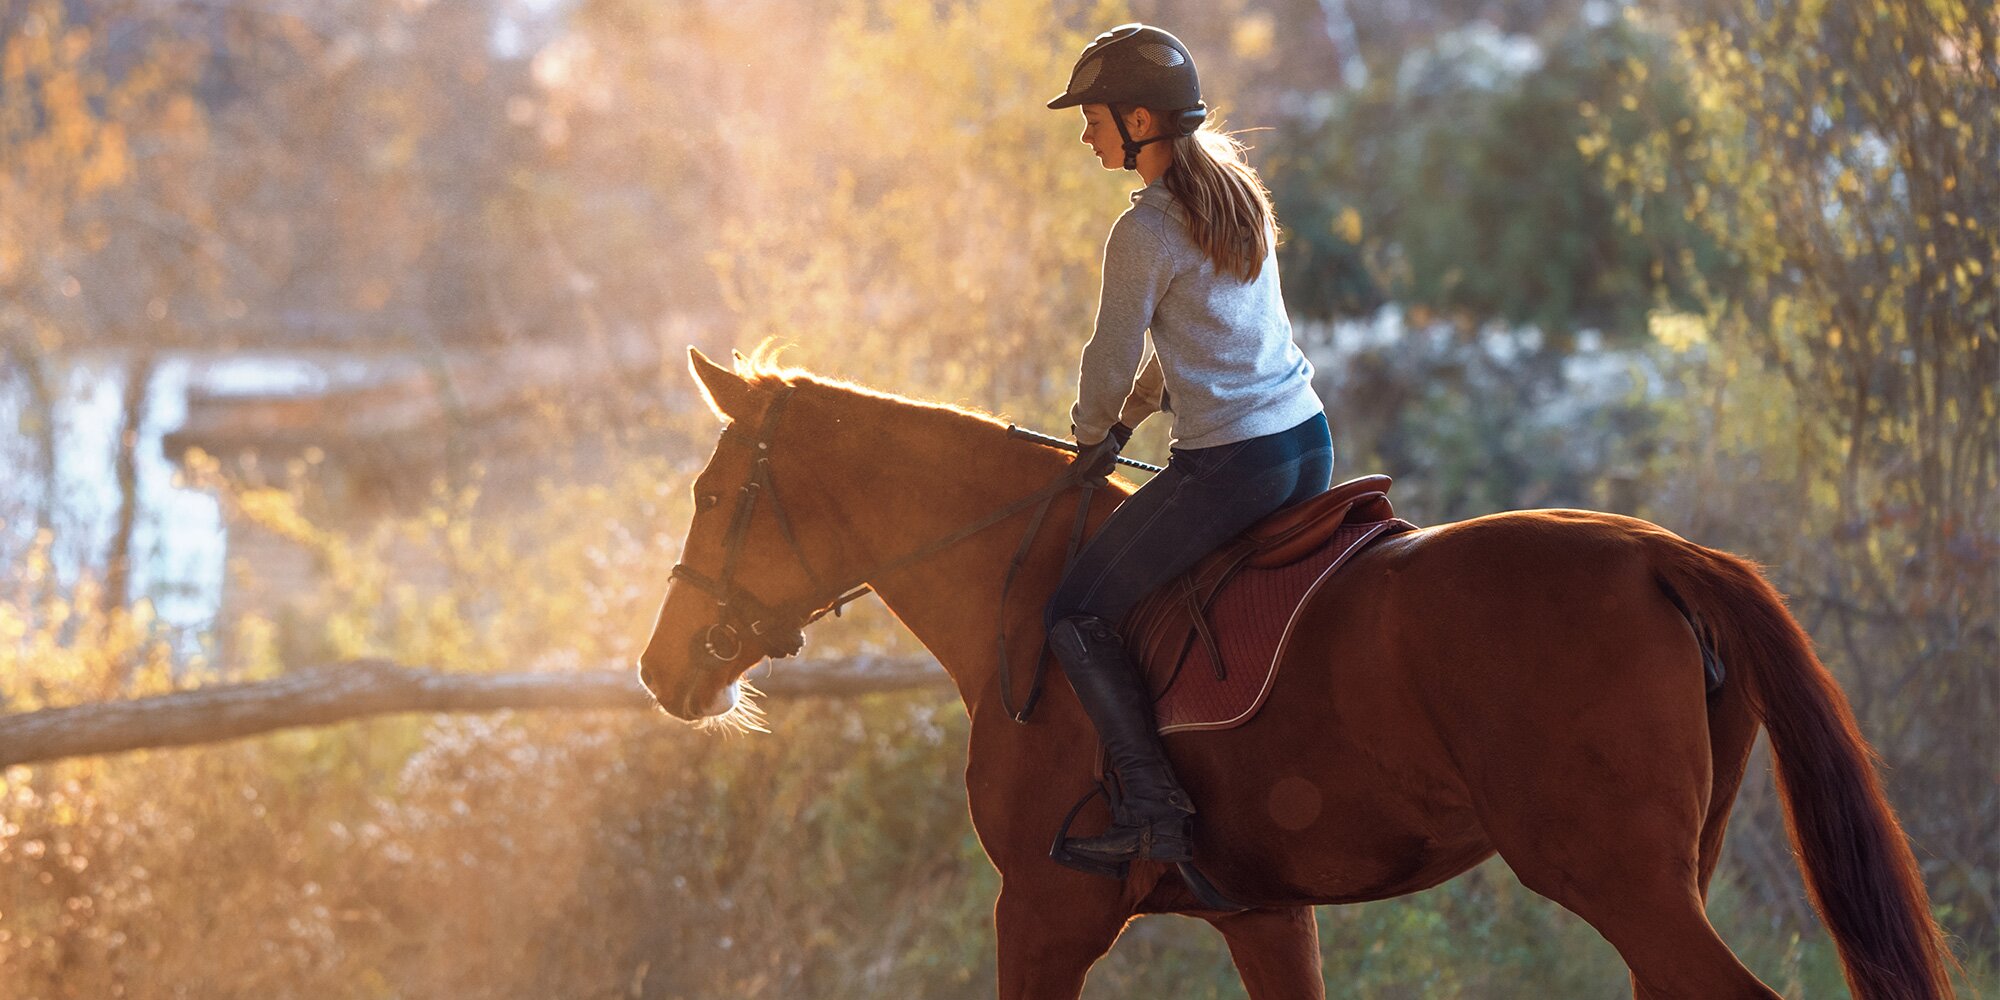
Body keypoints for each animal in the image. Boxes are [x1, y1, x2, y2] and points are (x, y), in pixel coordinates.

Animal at [640, 348, 1952, 996]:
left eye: (712, 494)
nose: (660, 672)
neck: (1017, 583)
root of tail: (1656, 553)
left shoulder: (1045, 911)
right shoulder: (1264, 912)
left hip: (1618, 879)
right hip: (1664, 876)